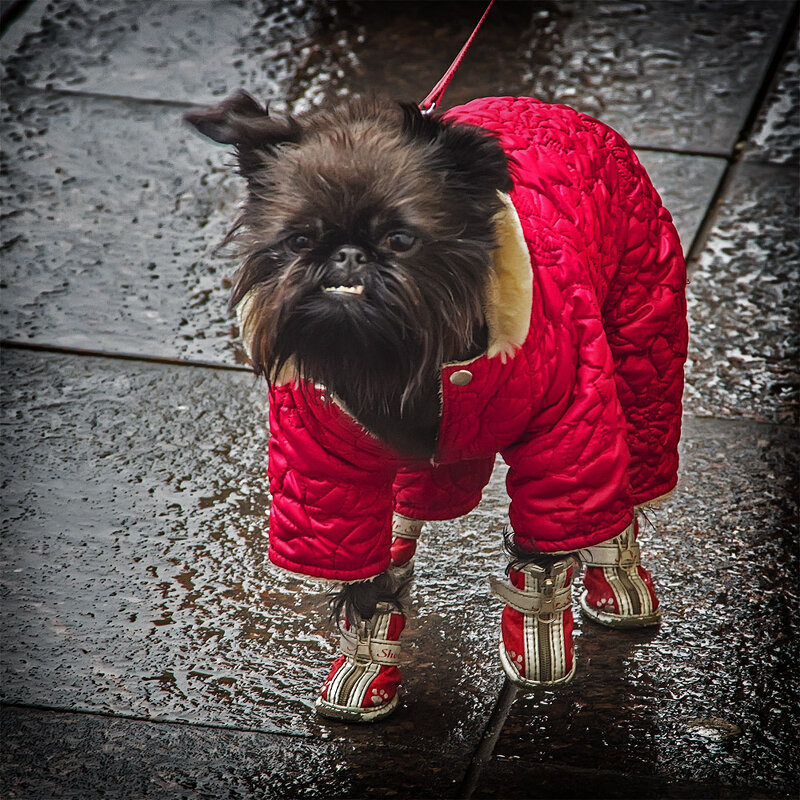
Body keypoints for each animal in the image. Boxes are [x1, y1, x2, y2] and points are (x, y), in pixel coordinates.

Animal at [184, 90, 684, 720]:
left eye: (401, 240)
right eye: (298, 240)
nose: (346, 255)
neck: (398, 363)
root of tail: (549, 108)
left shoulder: (563, 438)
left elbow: (545, 545)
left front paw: (539, 642)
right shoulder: (330, 477)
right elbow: (366, 576)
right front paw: (368, 660)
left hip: (641, 351)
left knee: (626, 480)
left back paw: (616, 575)